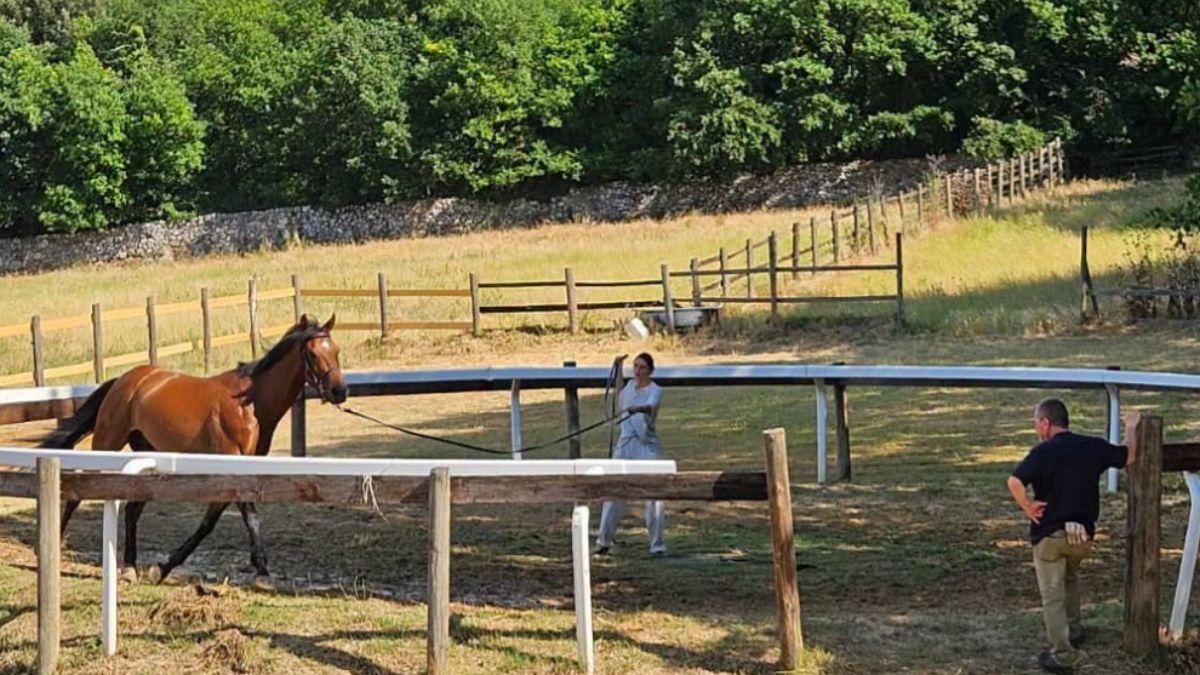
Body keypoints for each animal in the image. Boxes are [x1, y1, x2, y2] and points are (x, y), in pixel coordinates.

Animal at [41, 314, 347, 584]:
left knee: (132, 509)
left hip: (149, 454)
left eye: (336, 350)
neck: (249, 404)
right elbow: (224, 518)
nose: (339, 391)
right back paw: (57, 543)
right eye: (312, 354)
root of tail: (126, 380)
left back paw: (129, 568)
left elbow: (237, 518)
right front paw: (165, 567)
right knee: (79, 493)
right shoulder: (230, 466)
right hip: (108, 442)